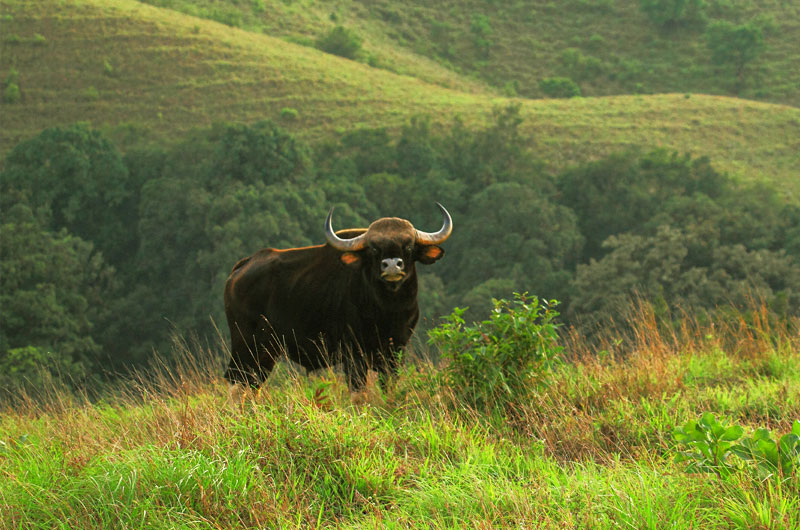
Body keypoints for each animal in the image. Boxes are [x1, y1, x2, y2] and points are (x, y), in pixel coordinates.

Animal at [222, 202, 454, 388]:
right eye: (373, 248)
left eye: (409, 246)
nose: (391, 265)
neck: (387, 310)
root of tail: (242, 267)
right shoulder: (354, 355)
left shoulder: (396, 352)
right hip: (246, 344)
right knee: (237, 380)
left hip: (266, 350)